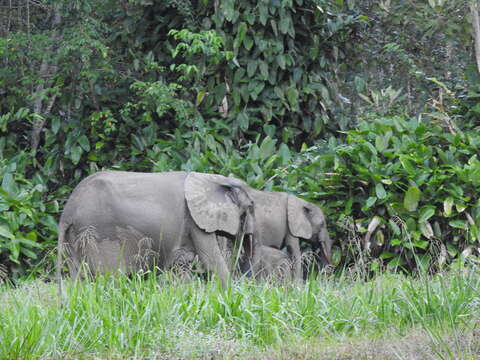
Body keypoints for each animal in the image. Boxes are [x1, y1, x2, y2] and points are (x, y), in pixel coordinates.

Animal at [56, 171, 256, 286]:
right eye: (249, 208)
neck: (212, 178)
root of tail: (68, 211)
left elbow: (181, 266)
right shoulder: (194, 220)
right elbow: (212, 260)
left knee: (79, 277)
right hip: (98, 233)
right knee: (109, 277)